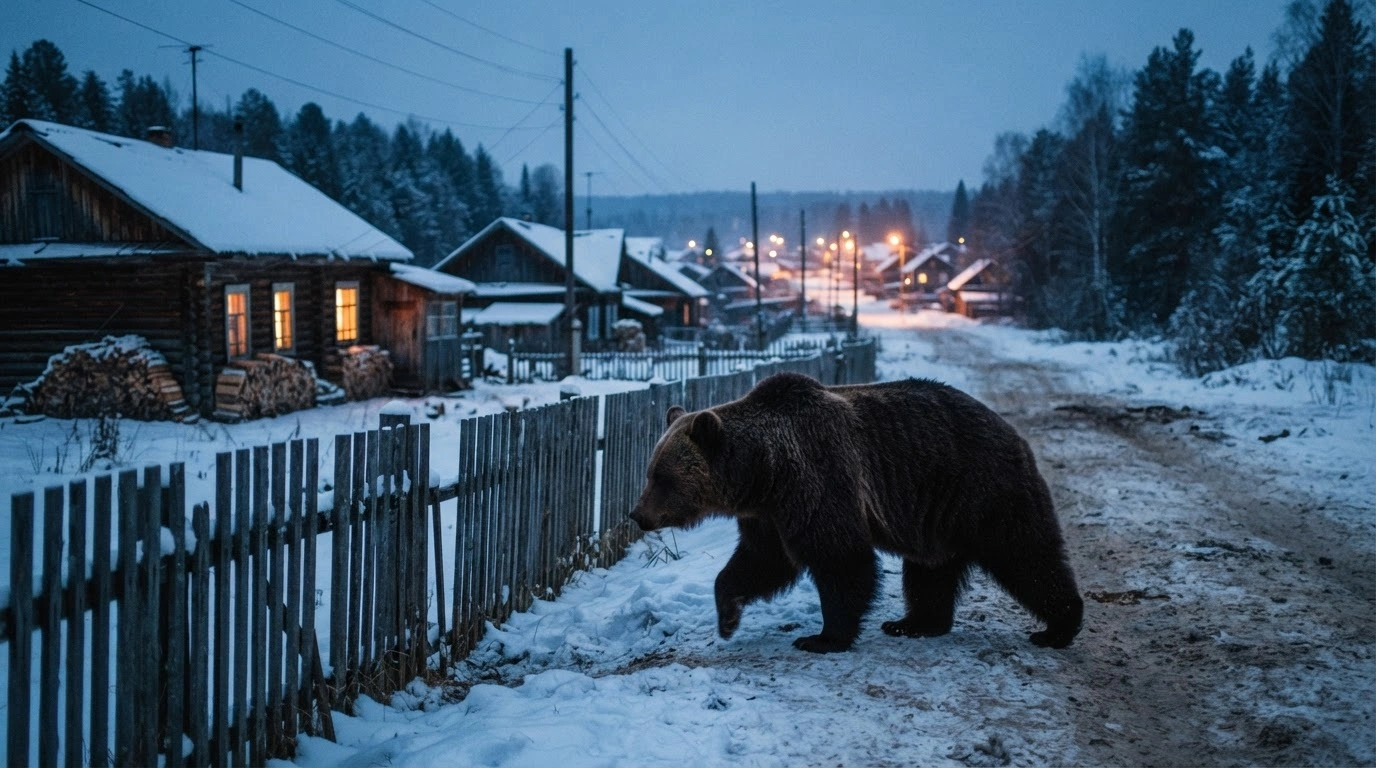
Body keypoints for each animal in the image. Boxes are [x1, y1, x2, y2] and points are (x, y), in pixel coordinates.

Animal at [628, 371, 1083, 654]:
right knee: (930, 570)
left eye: (662, 477)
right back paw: (913, 623)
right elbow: (760, 562)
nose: (638, 515)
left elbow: (841, 559)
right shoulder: (769, 514)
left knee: (1026, 555)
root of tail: (1013, 432)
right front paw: (727, 617)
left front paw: (822, 638)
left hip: (982, 488)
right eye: (649, 471)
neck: (763, 471)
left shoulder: (818, 478)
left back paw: (1058, 627)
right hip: (936, 515)